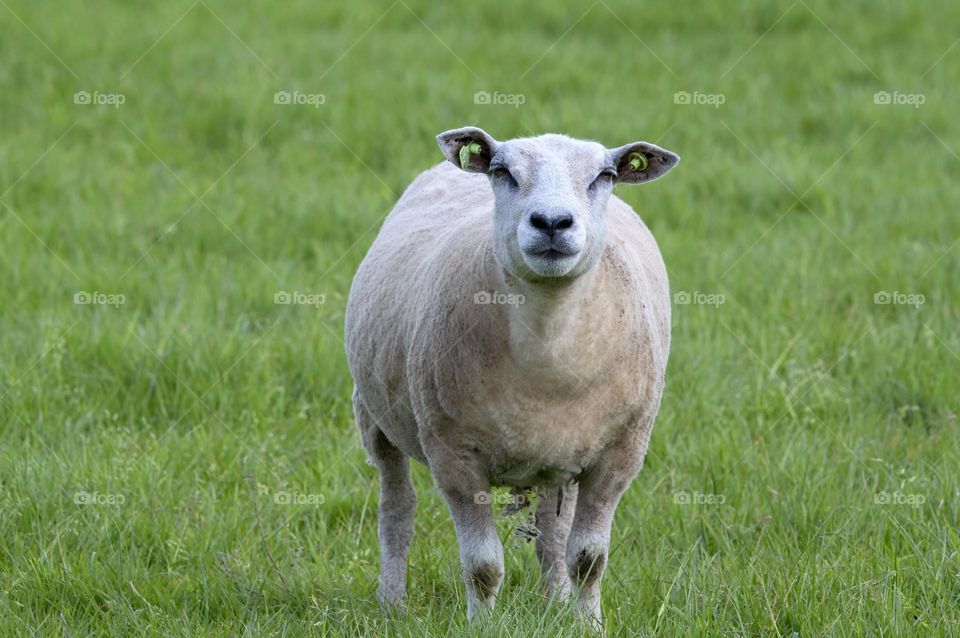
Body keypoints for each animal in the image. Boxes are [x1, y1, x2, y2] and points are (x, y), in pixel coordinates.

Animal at [344, 126, 679, 625]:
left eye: (606, 175)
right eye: (502, 172)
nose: (552, 223)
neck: (549, 348)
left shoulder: (620, 455)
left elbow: (588, 558)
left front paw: (587, 624)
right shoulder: (455, 457)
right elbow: (483, 566)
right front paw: (479, 626)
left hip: (559, 454)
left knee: (553, 536)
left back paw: (555, 601)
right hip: (373, 414)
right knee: (396, 510)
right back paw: (391, 603)